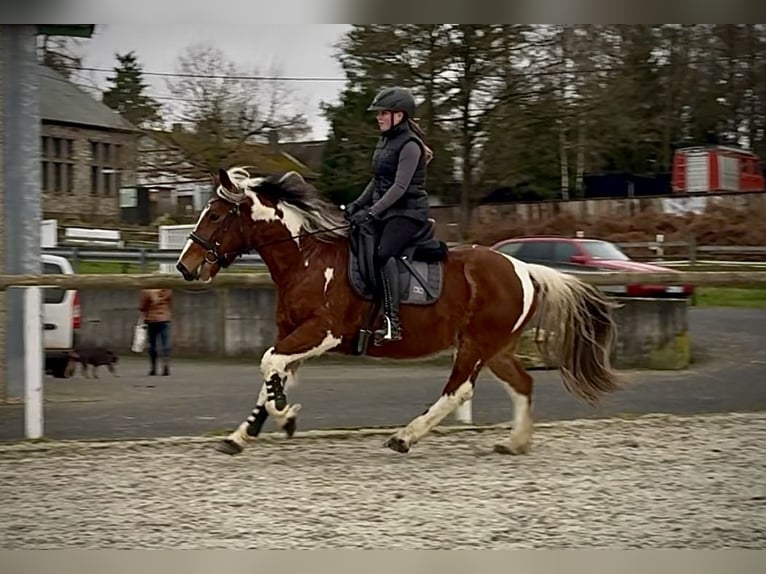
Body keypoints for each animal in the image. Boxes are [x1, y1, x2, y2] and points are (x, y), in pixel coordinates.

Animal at [176, 166, 623, 456]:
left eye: (215, 215)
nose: (184, 266)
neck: (306, 259)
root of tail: (524, 268)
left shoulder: (323, 332)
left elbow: (270, 365)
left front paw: (284, 415)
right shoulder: (291, 333)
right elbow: (271, 373)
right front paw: (248, 431)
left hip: (476, 345)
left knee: (459, 389)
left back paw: (405, 437)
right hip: (495, 347)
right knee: (522, 384)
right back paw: (516, 443)